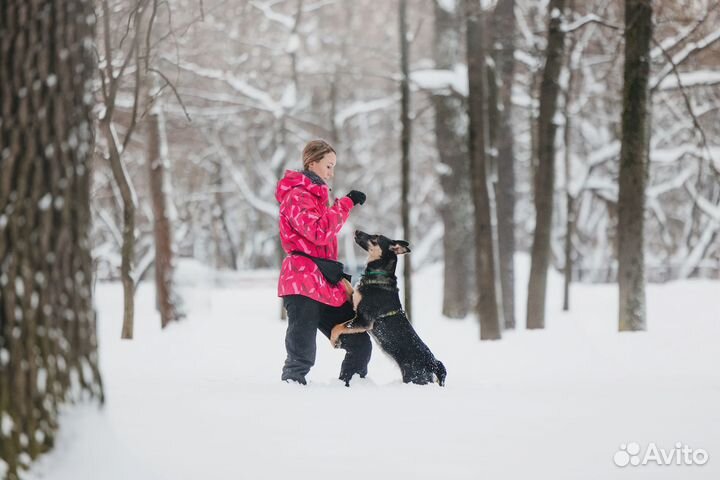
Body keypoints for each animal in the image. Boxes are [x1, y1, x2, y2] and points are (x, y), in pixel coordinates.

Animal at [330, 230, 444, 386]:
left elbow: (338, 327)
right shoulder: (355, 300)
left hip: (415, 378)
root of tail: (433, 363)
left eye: (375, 237)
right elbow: (348, 285)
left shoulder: (364, 321)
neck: (379, 274)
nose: (357, 231)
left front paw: (334, 341)